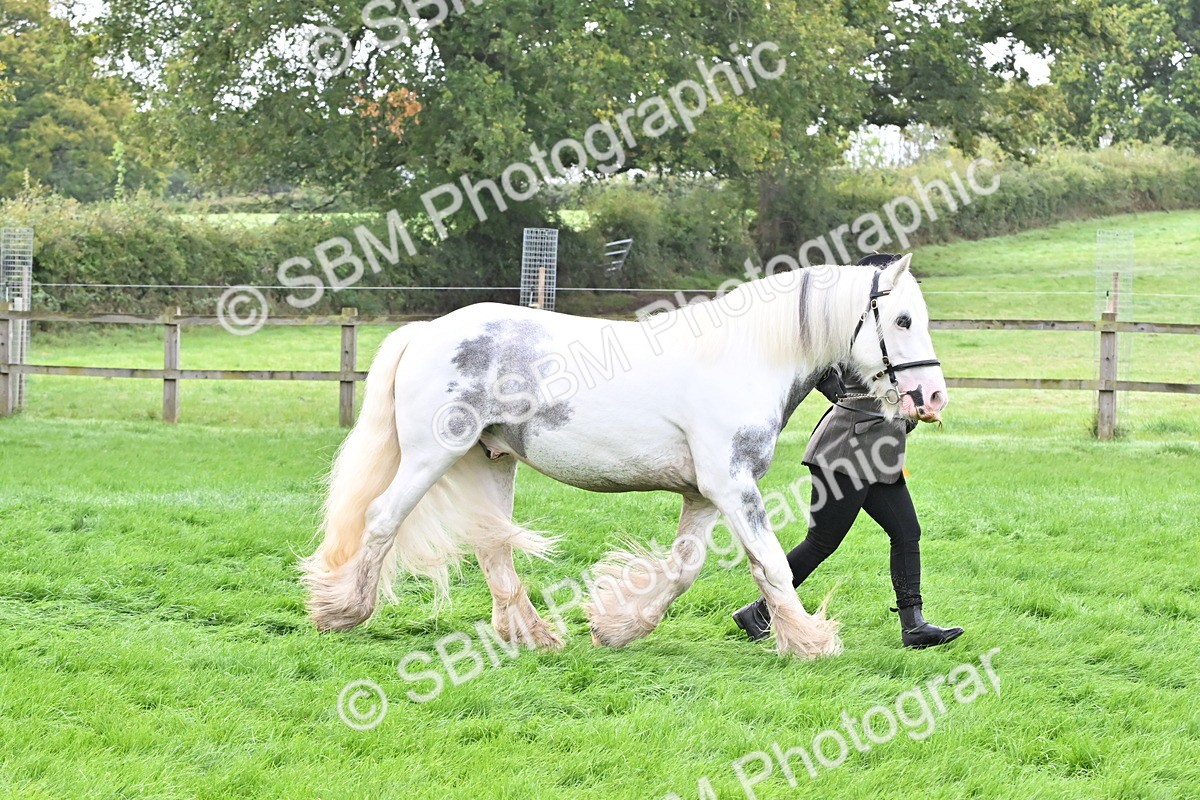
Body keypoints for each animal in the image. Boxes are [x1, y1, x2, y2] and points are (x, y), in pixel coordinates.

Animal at [301, 254, 948, 658]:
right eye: (903, 319)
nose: (933, 396)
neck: (745, 358)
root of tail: (428, 331)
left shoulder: (705, 494)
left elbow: (684, 569)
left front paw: (616, 627)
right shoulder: (732, 485)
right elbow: (772, 564)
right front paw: (811, 642)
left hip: (491, 460)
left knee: (492, 546)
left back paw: (532, 636)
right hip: (431, 456)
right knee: (382, 520)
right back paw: (341, 611)